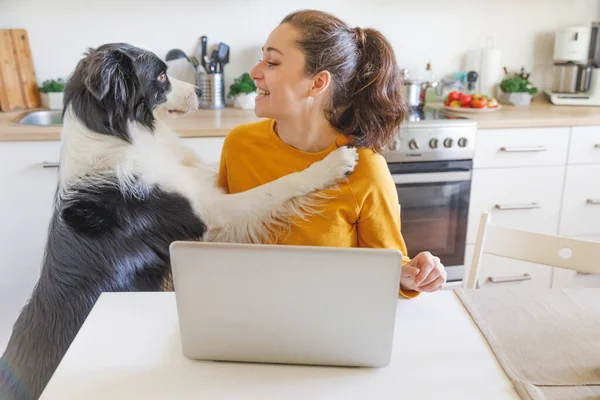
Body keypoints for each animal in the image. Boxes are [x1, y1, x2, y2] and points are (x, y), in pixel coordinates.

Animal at [0, 43, 356, 400]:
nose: (201, 91)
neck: (118, 134)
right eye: (160, 76)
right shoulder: (210, 213)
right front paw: (331, 164)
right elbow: (278, 186)